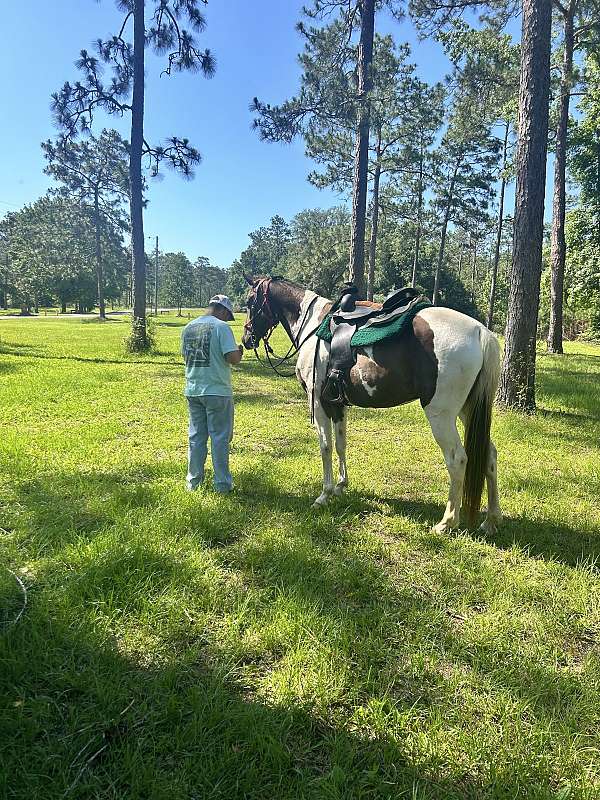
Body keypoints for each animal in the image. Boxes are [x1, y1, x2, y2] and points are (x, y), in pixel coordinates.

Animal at [240, 276, 502, 536]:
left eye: (251, 301)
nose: (246, 339)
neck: (313, 326)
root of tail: (480, 332)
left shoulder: (318, 402)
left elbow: (325, 446)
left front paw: (324, 495)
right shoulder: (337, 405)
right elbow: (341, 444)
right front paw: (341, 486)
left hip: (442, 415)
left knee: (457, 459)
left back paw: (447, 522)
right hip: (468, 410)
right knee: (489, 455)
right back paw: (490, 521)